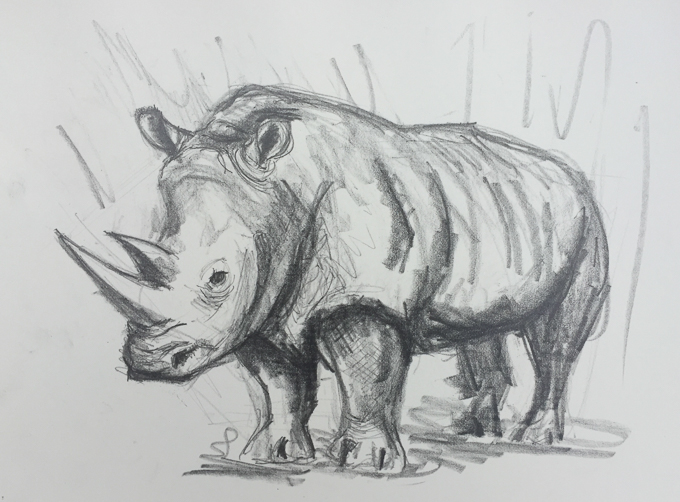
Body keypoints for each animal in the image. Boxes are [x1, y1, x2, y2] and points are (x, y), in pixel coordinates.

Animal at [57, 85, 609, 472]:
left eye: (217, 278)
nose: (146, 363)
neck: (282, 189)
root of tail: (572, 175)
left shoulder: (363, 292)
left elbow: (366, 371)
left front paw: (369, 464)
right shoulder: (264, 297)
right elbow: (277, 381)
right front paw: (271, 455)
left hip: (585, 220)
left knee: (555, 338)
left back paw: (532, 439)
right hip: (496, 212)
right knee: (480, 326)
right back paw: (471, 430)